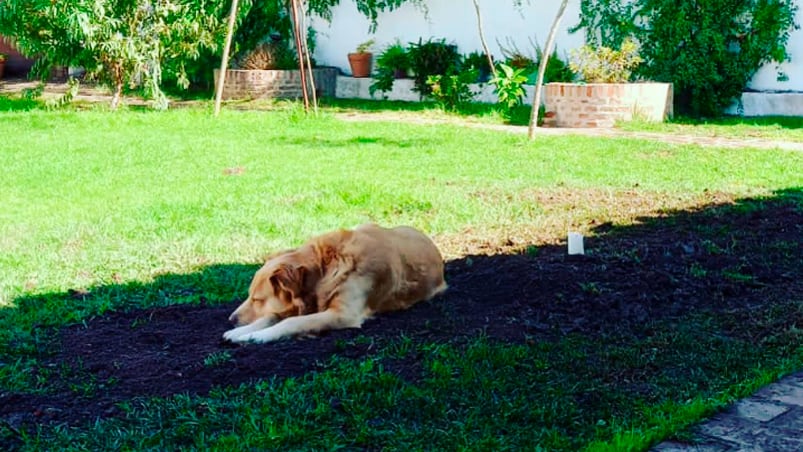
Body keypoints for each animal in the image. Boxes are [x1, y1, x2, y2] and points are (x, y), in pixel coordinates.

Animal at [223, 224, 450, 344]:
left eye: (257, 299)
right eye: (250, 296)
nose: (231, 319)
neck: (324, 270)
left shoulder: (343, 314)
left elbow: (291, 322)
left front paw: (256, 337)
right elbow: (271, 316)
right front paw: (240, 333)